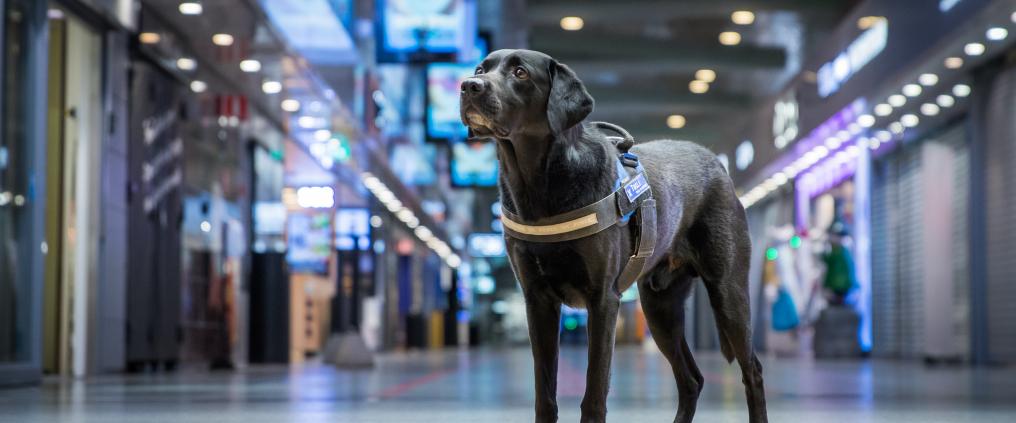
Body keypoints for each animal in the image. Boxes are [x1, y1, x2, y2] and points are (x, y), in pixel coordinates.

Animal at [459, 50, 764, 422]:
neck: (539, 181)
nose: (469, 85)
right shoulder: (538, 301)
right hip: (660, 308)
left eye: (520, 72)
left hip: (728, 292)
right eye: (480, 69)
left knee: (752, 371)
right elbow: (544, 394)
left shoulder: (603, 299)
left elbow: (594, 391)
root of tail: (716, 162)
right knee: (692, 379)